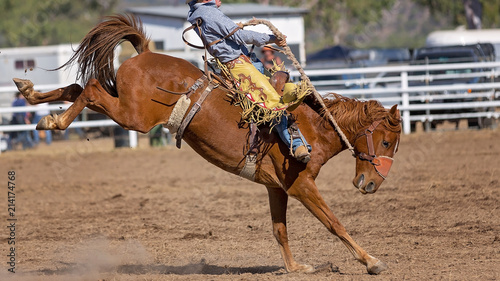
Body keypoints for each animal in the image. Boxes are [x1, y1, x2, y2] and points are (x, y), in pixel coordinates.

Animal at [12, 14, 402, 274]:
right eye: (385, 141)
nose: (371, 184)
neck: (312, 127)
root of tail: (146, 53)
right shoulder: (301, 184)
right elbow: (335, 223)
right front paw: (371, 261)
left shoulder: (277, 188)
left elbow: (280, 230)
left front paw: (295, 268)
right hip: (133, 115)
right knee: (90, 88)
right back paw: (53, 120)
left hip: (124, 104)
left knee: (77, 88)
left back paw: (32, 96)